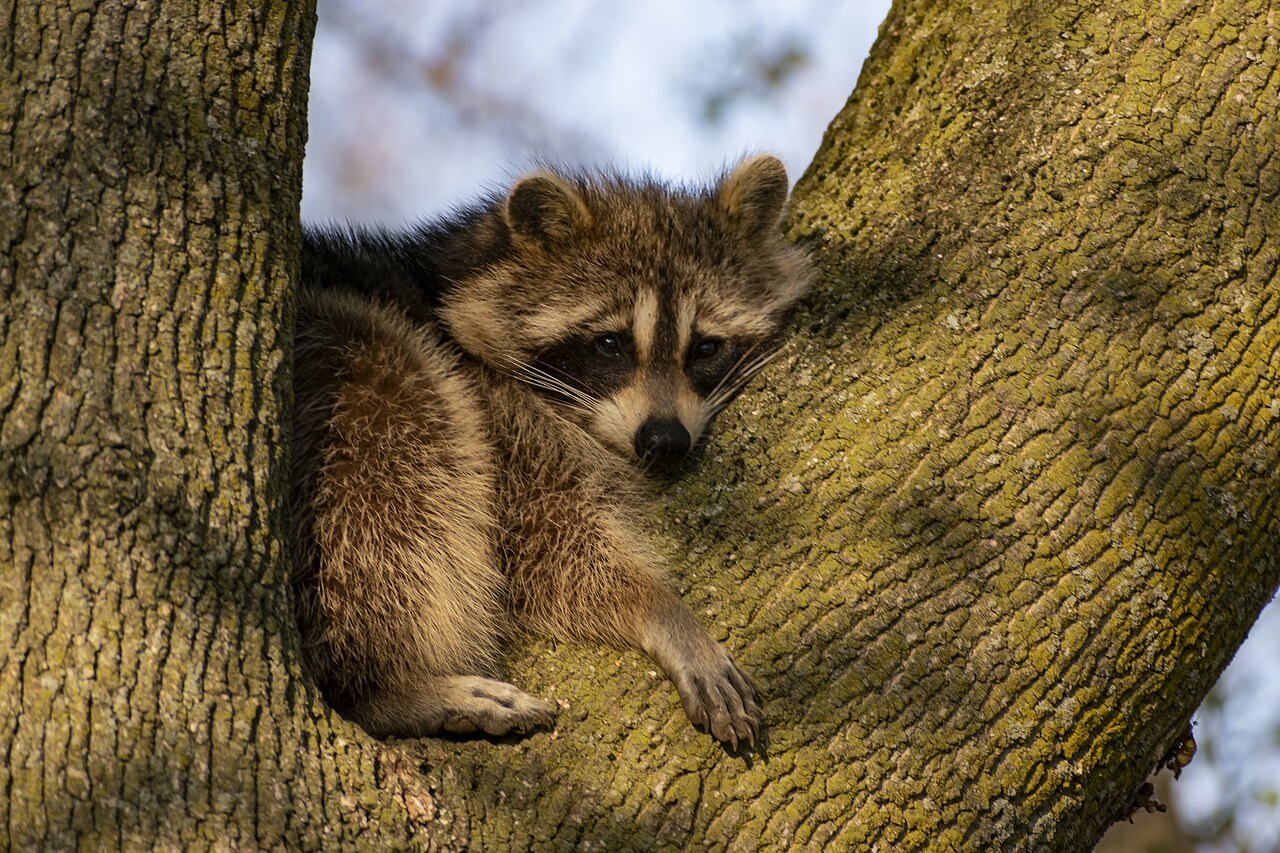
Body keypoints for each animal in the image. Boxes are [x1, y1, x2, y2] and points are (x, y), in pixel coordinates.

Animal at [291, 155, 812, 748]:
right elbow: (551, 553)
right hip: (344, 390)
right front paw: (657, 608)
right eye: (609, 344)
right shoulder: (497, 418)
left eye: (705, 348)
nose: (663, 439)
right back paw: (382, 689)